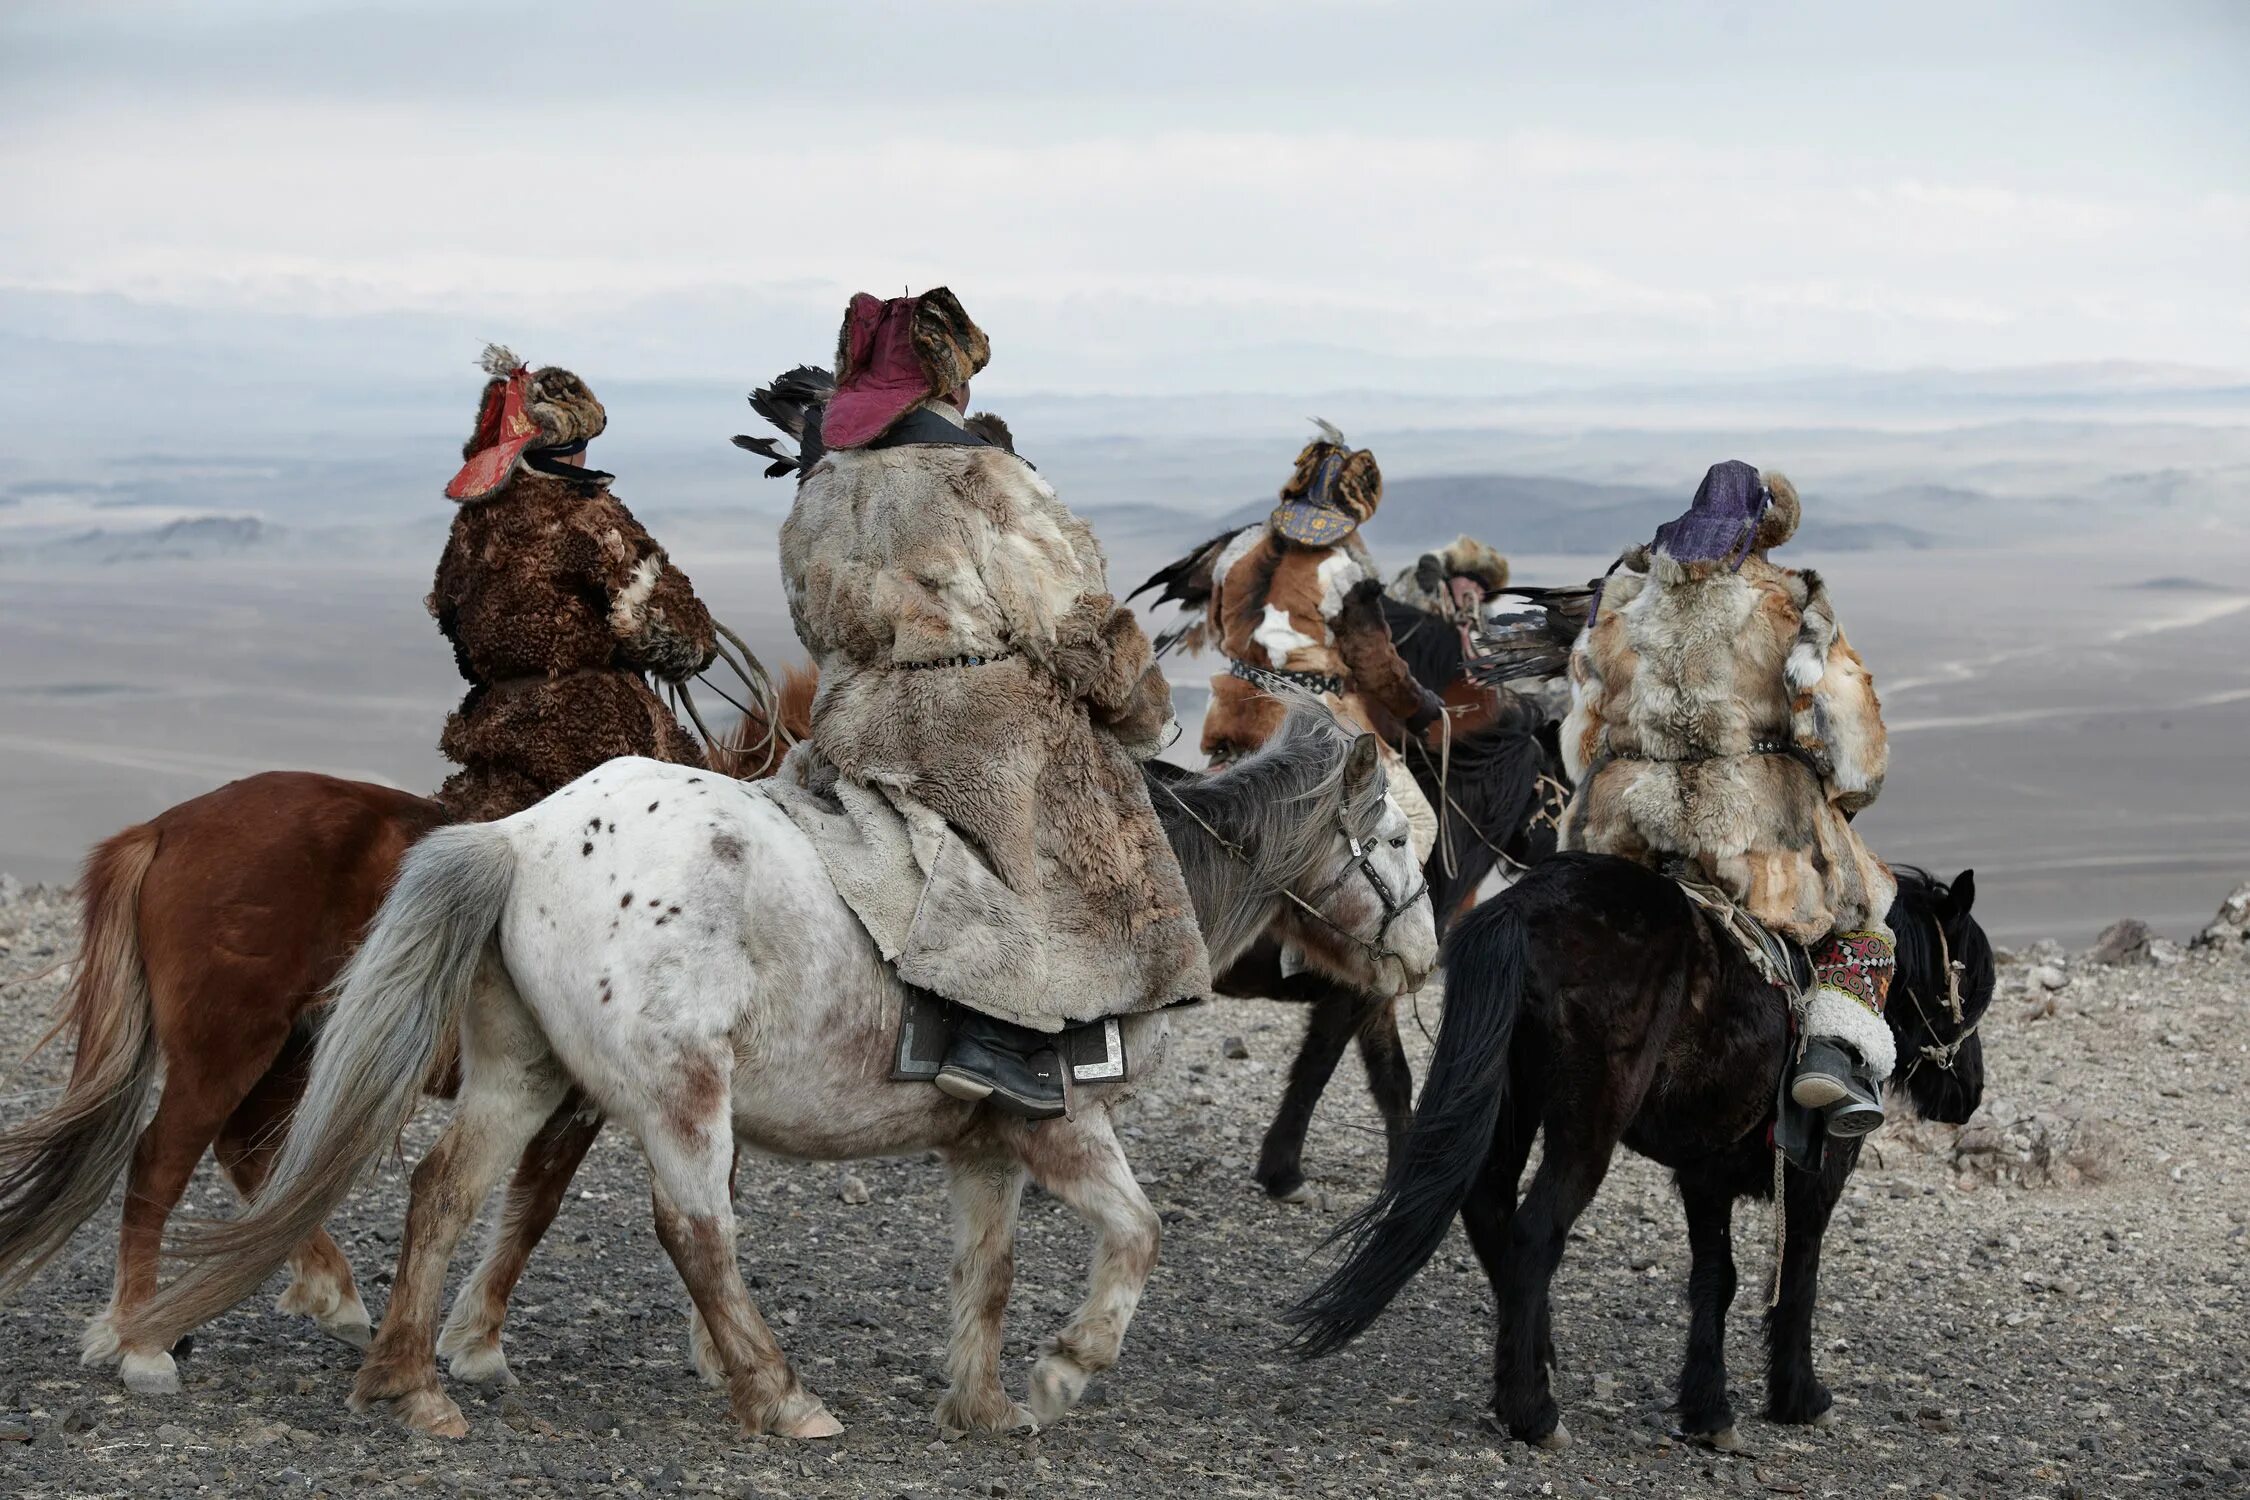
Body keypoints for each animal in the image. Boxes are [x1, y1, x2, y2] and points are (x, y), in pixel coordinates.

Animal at [0, 670, 828, 1394]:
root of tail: (162, 830)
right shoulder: (601, 1095)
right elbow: (546, 1209)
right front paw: (481, 1345)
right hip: (225, 1049)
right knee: (160, 1166)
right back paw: (140, 1343)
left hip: (297, 1051)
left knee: (252, 1152)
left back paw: (325, 1296)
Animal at [114, 715, 1431, 1439]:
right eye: (1400, 837)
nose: (1423, 955)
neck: (1128, 895)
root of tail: (523, 836)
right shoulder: (1065, 1129)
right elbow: (1140, 1236)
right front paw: (1066, 1371)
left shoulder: (987, 1144)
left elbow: (989, 1270)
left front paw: (984, 1404)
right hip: (678, 1092)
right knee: (695, 1229)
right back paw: (778, 1394)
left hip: (520, 1077)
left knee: (445, 1191)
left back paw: (409, 1385)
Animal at [1287, 854, 1989, 1457]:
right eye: (1970, 981)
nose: (1970, 1094)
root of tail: (1520, 909)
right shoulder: (1815, 1181)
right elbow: (1798, 1278)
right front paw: (1800, 1398)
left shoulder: (1706, 1179)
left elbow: (1716, 1280)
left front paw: (1708, 1411)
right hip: (1585, 1124)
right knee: (1534, 1232)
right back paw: (1534, 1412)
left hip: (1512, 1098)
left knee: (1490, 1213)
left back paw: (1533, 1366)